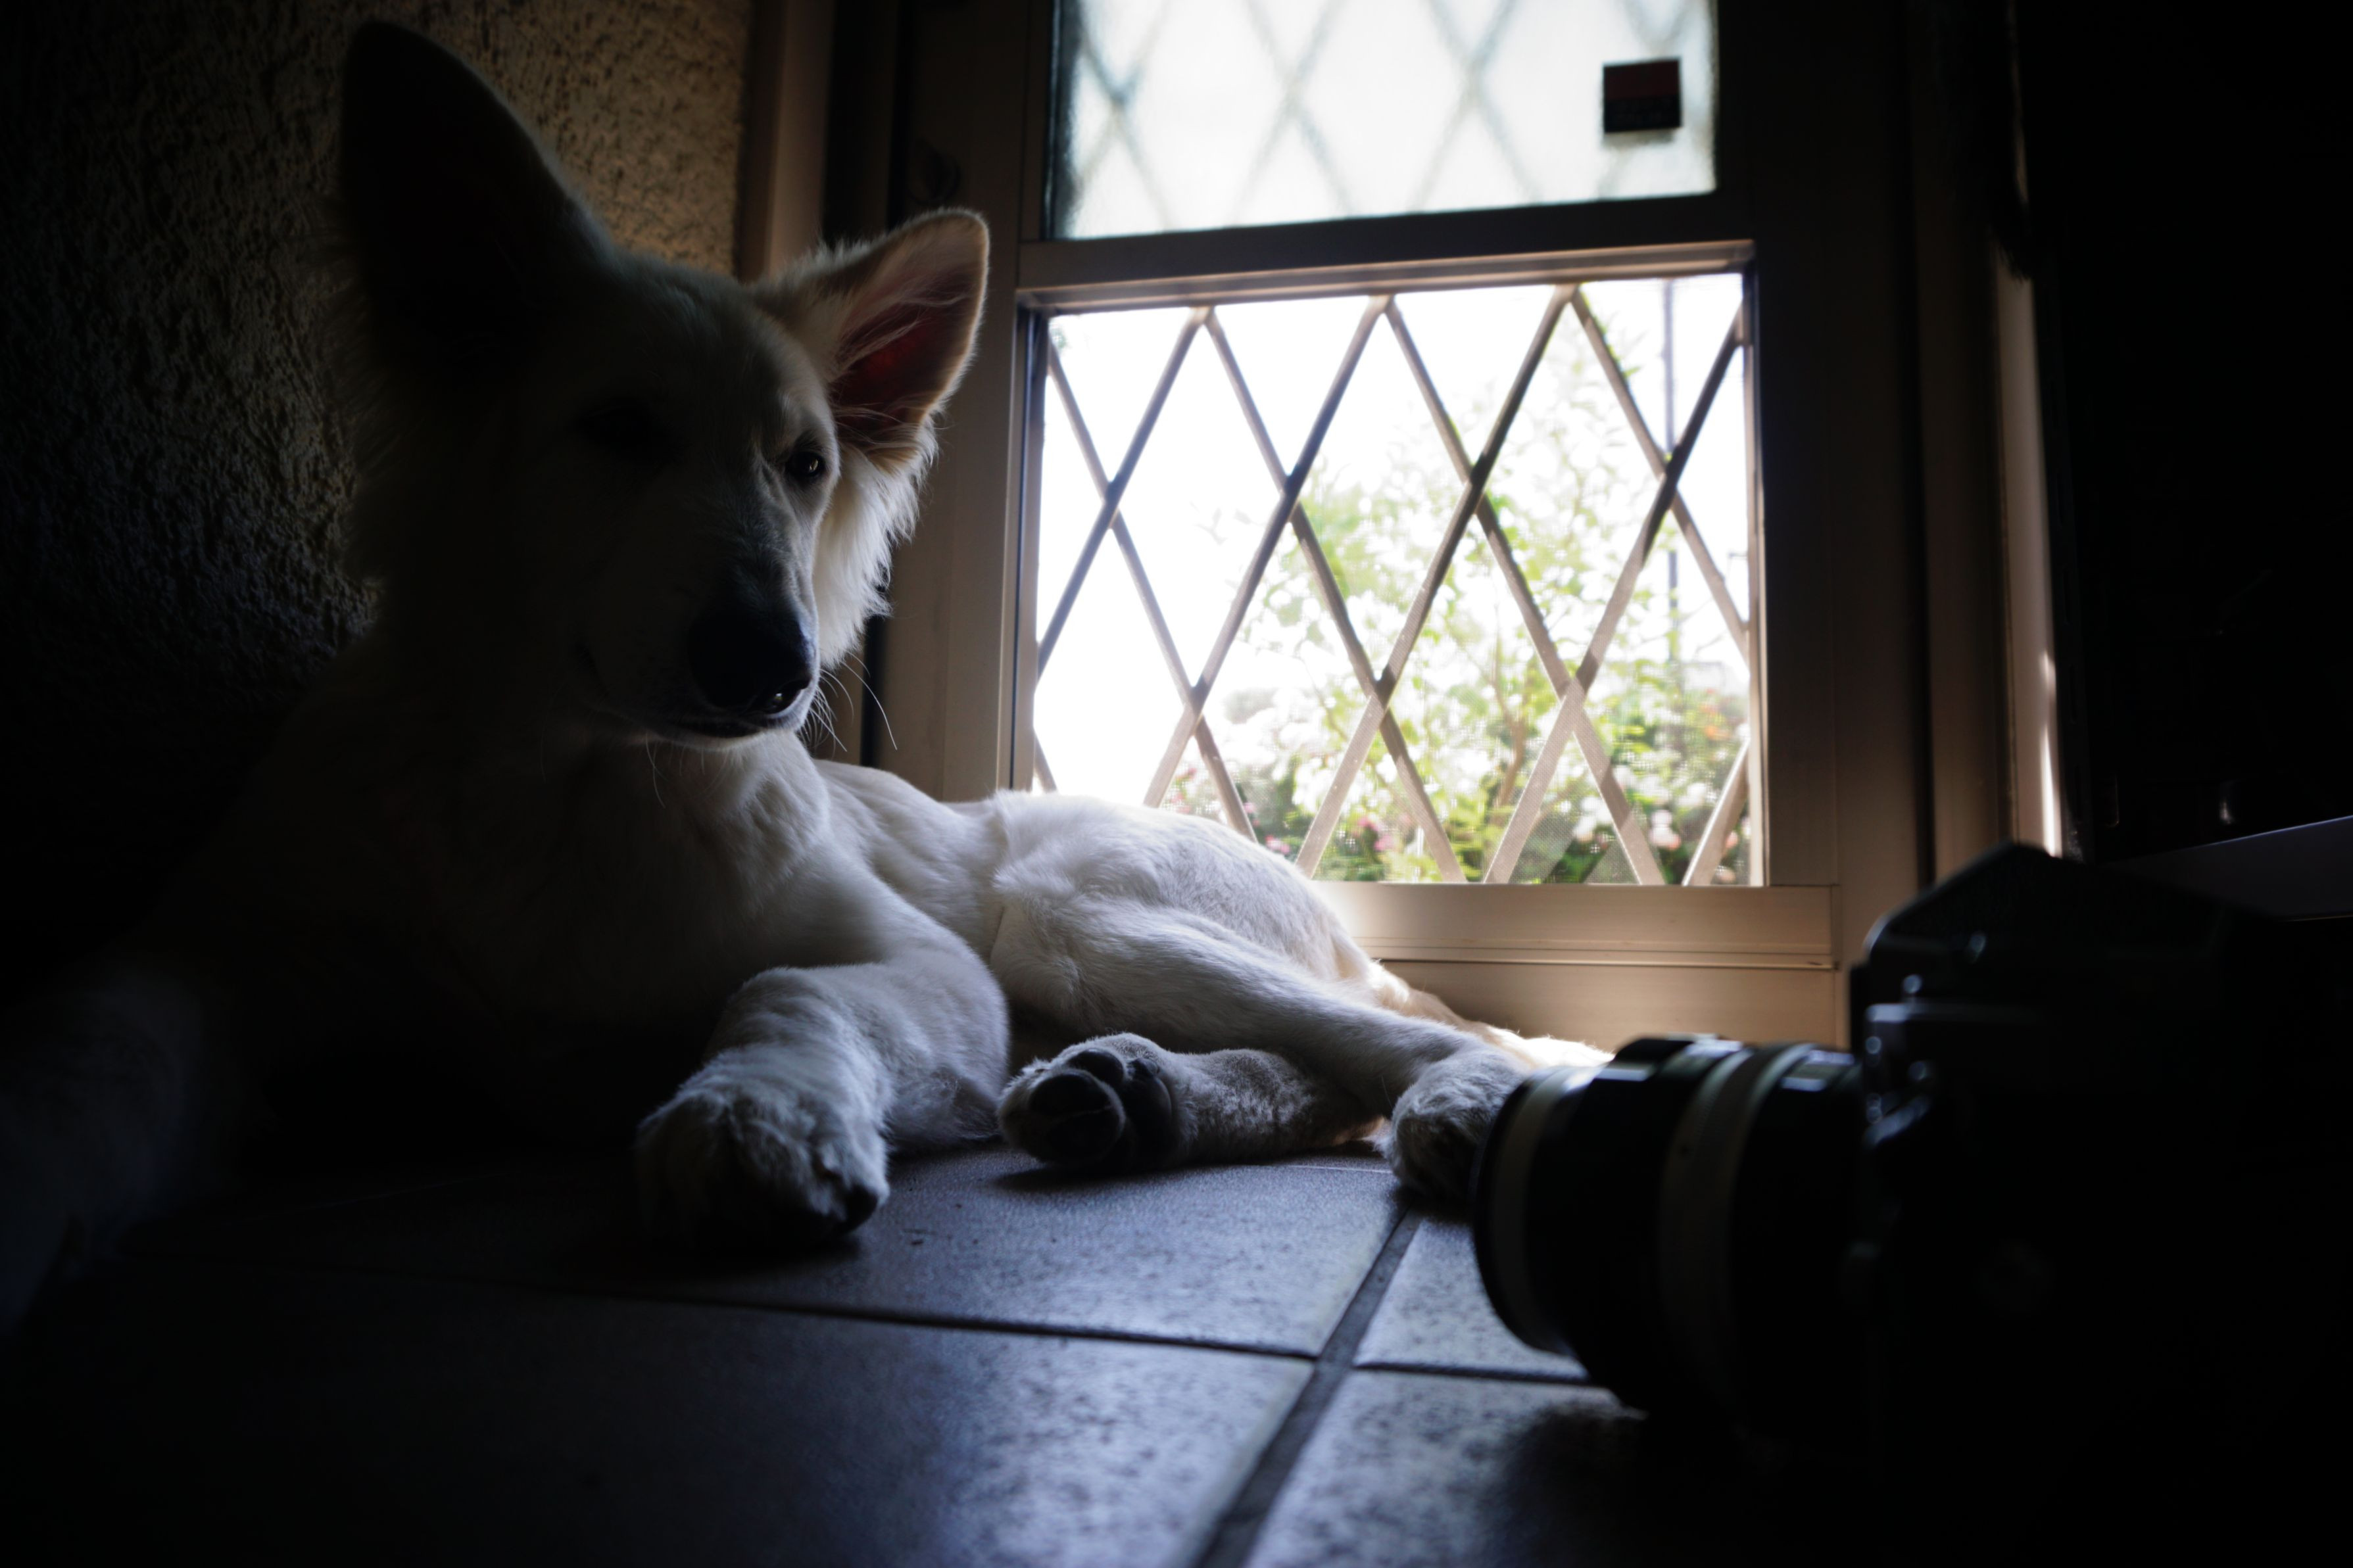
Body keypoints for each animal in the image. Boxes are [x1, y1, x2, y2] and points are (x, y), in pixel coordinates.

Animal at [0, 24, 1596, 1327]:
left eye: (806, 465)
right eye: (619, 428)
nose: (769, 667)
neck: (564, 789)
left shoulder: (928, 967)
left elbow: (780, 981)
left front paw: (755, 1121)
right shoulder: (218, 957)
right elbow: (92, 1039)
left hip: (1070, 910)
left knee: (1418, 1033)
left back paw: (1453, 1095)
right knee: (1319, 1075)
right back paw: (1126, 1097)